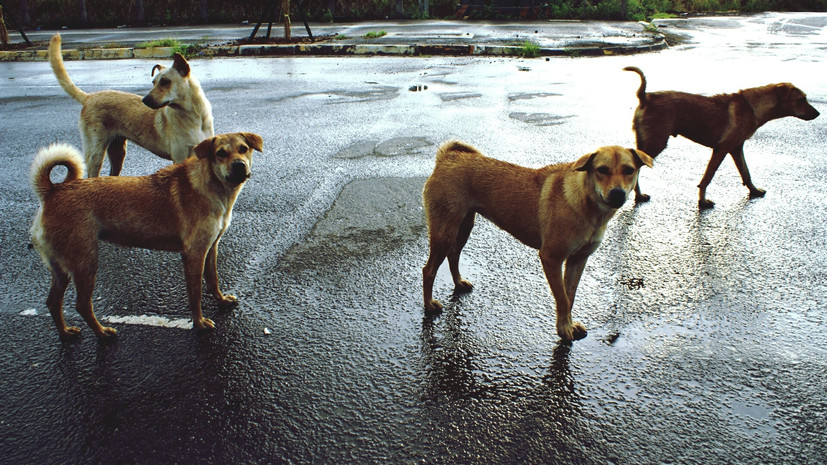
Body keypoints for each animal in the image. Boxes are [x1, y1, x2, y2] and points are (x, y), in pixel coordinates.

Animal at [29, 132, 262, 338]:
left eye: (243, 149)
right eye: (220, 153)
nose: (239, 165)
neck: (212, 186)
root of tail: (52, 191)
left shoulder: (211, 248)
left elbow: (213, 280)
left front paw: (221, 300)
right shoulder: (194, 254)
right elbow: (195, 295)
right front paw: (199, 322)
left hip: (62, 270)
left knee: (53, 302)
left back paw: (65, 333)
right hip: (85, 264)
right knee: (82, 305)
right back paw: (102, 333)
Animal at [48, 33, 213, 178]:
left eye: (165, 82)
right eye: (153, 82)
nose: (144, 100)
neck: (194, 116)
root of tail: (89, 97)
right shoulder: (179, 158)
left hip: (117, 153)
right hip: (95, 155)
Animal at [424, 141, 652, 340]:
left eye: (629, 170)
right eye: (601, 170)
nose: (617, 193)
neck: (586, 204)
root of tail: (447, 158)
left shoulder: (578, 260)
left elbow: (570, 296)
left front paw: (569, 324)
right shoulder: (551, 258)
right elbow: (562, 298)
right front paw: (564, 329)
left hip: (463, 227)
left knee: (453, 255)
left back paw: (458, 282)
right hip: (444, 233)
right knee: (428, 270)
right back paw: (429, 305)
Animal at [624, 66, 820, 208]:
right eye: (801, 99)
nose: (817, 113)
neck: (752, 106)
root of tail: (645, 96)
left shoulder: (736, 149)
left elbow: (746, 173)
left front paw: (754, 191)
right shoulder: (721, 149)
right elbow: (706, 179)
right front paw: (702, 201)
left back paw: (636, 194)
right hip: (655, 143)